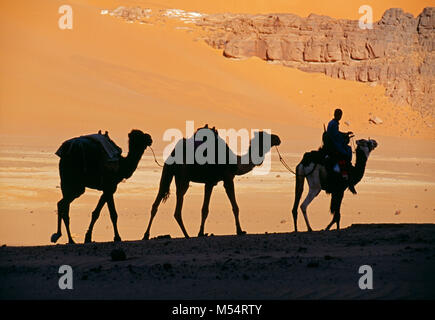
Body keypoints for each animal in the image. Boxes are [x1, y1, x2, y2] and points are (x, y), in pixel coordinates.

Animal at [141, 125, 282, 240]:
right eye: (266, 136)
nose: (278, 138)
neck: (235, 163)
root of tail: (173, 153)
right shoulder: (228, 178)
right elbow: (235, 207)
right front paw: (240, 231)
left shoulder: (210, 182)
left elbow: (205, 209)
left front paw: (201, 233)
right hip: (183, 176)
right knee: (177, 209)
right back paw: (186, 235)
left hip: (168, 173)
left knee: (157, 201)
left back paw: (146, 235)